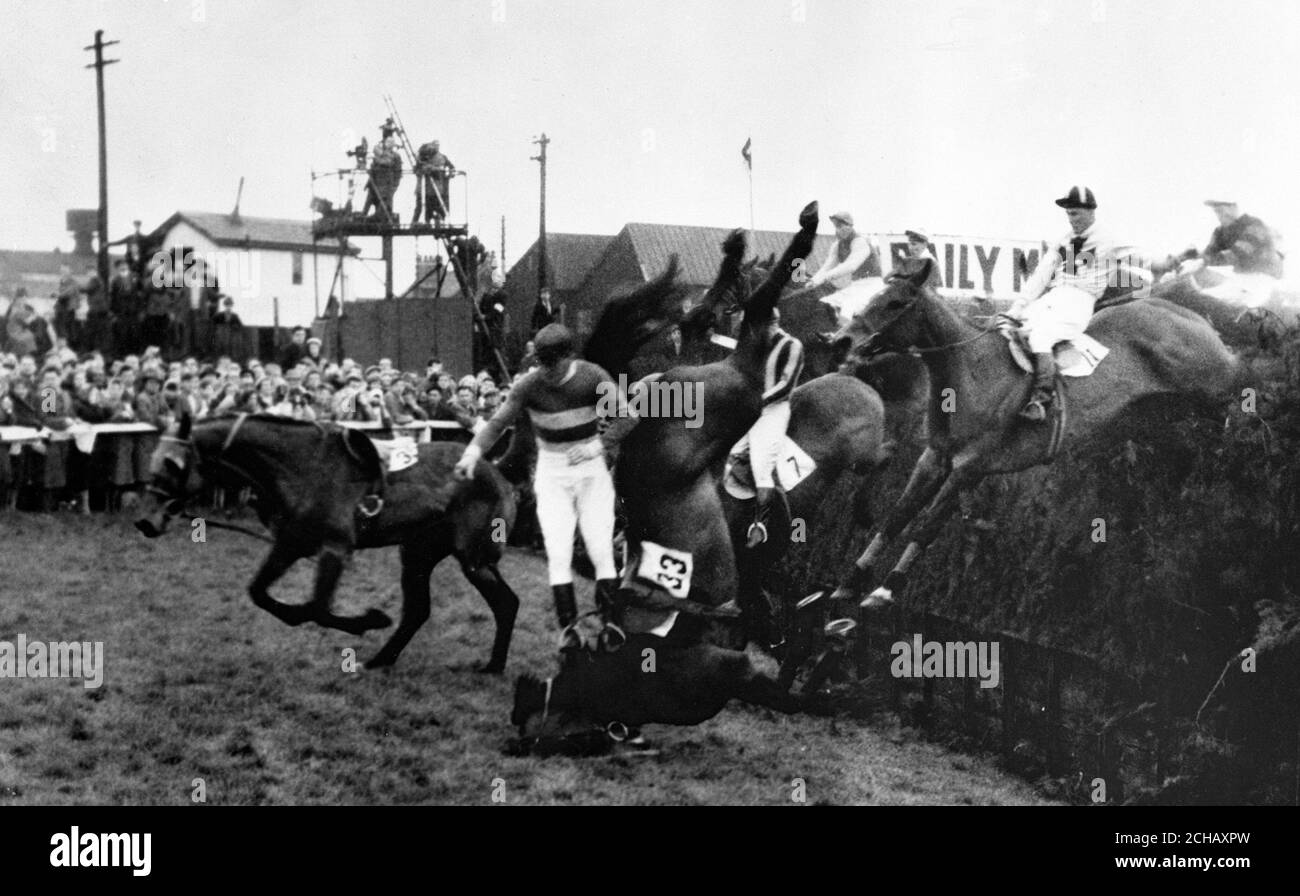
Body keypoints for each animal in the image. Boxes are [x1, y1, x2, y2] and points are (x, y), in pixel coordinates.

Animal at [137, 416, 527, 665]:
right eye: (153, 459)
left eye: (172, 464)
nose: (145, 521)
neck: (302, 465)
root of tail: (496, 470)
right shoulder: (290, 544)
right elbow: (259, 592)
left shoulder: (334, 550)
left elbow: (319, 610)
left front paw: (368, 620)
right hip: (418, 553)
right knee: (421, 610)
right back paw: (383, 659)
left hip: (474, 557)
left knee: (505, 603)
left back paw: (493, 666)